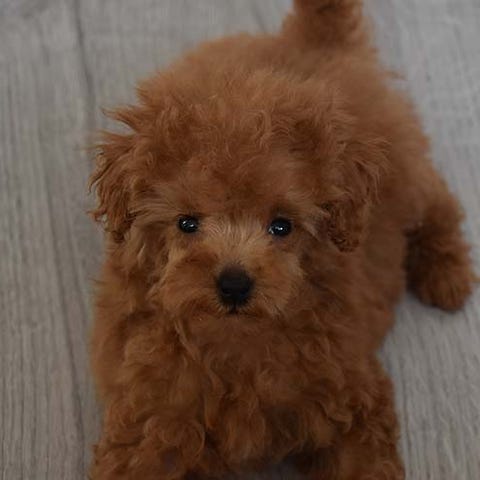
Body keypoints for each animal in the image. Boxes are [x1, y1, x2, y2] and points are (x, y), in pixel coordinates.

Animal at [89, 1, 475, 478]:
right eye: (186, 223)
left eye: (281, 226)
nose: (234, 284)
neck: (237, 338)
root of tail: (313, 37)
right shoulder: (152, 417)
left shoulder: (349, 398)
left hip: (405, 175)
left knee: (439, 201)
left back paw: (448, 274)